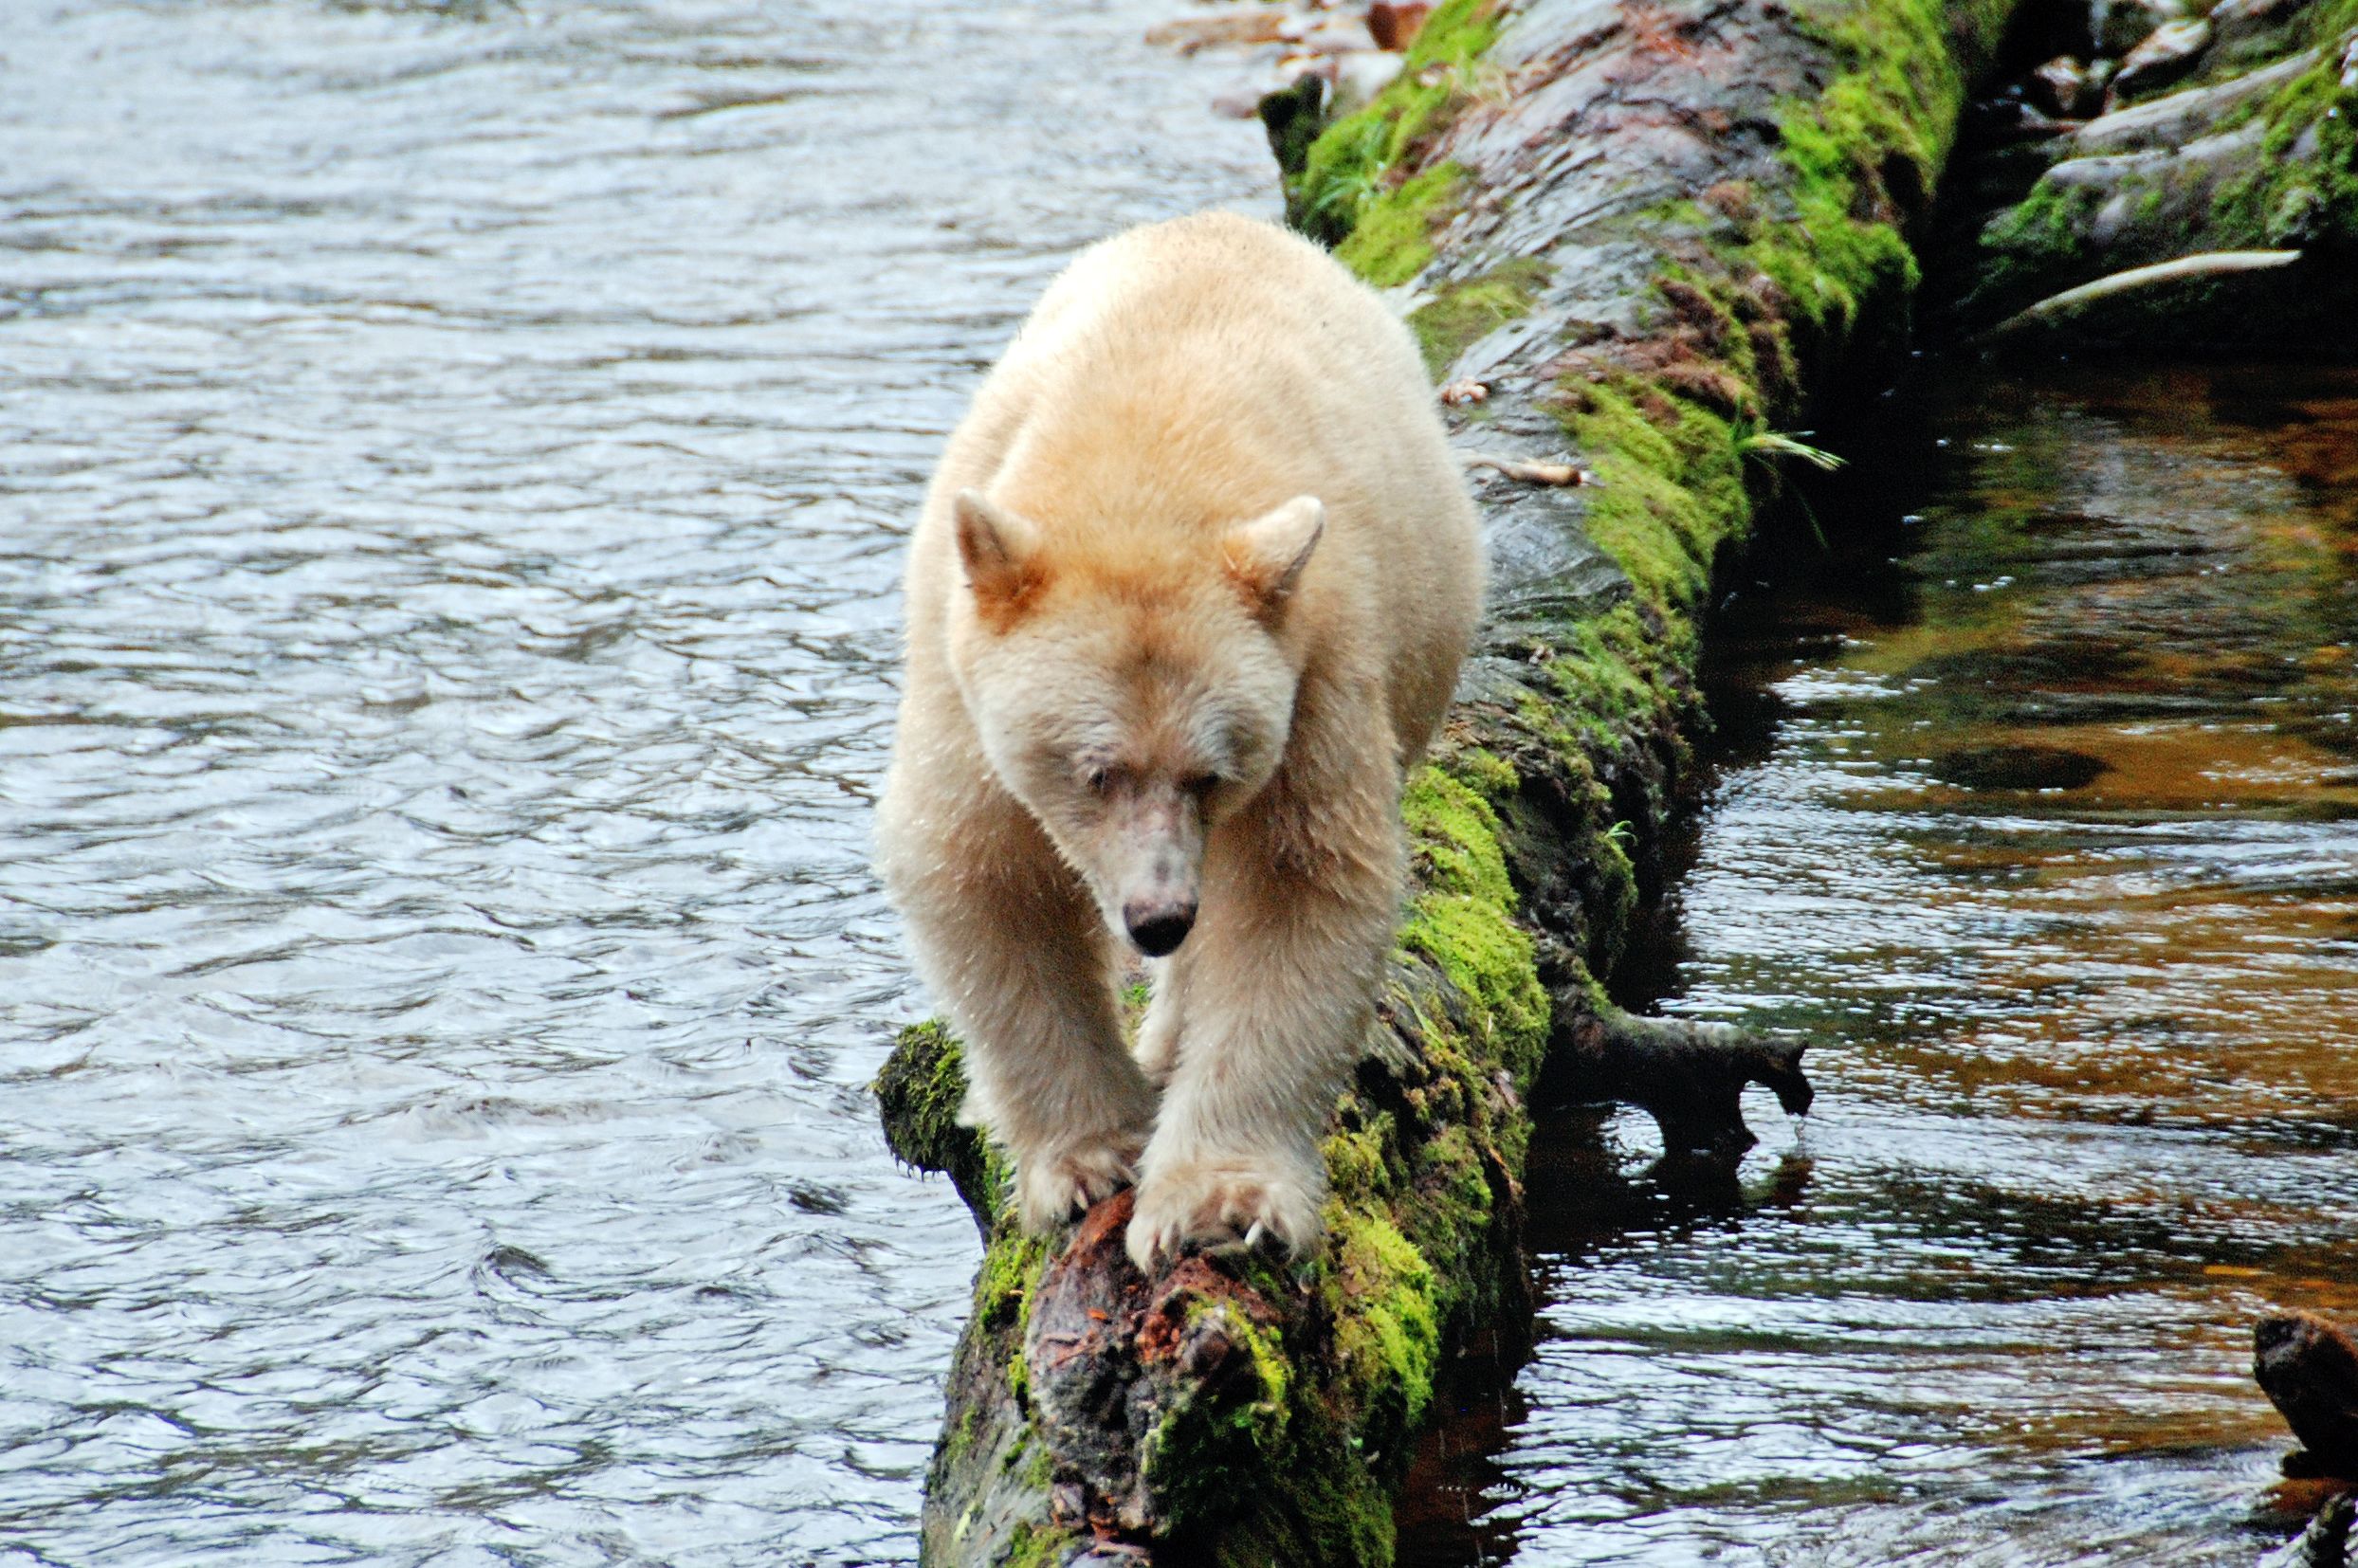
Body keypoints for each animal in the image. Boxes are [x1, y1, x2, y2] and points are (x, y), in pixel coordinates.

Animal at [877, 207, 1480, 1264]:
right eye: (1096, 772)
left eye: (1211, 774)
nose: (1159, 918)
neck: (1143, 450)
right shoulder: (958, 659)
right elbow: (982, 867)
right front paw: (1089, 1162)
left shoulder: (1315, 656)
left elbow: (1296, 881)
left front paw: (1218, 1203)